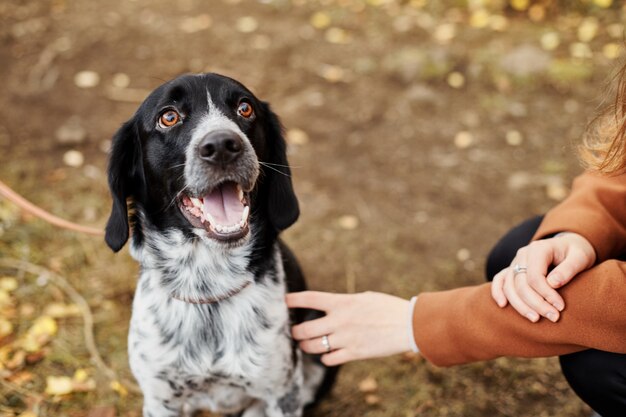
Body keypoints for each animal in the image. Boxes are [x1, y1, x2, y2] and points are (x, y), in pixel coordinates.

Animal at [103, 73, 336, 414]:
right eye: (168, 117)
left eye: (245, 108)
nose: (223, 146)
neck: (208, 286)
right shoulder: (160, 399)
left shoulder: (283, 393)